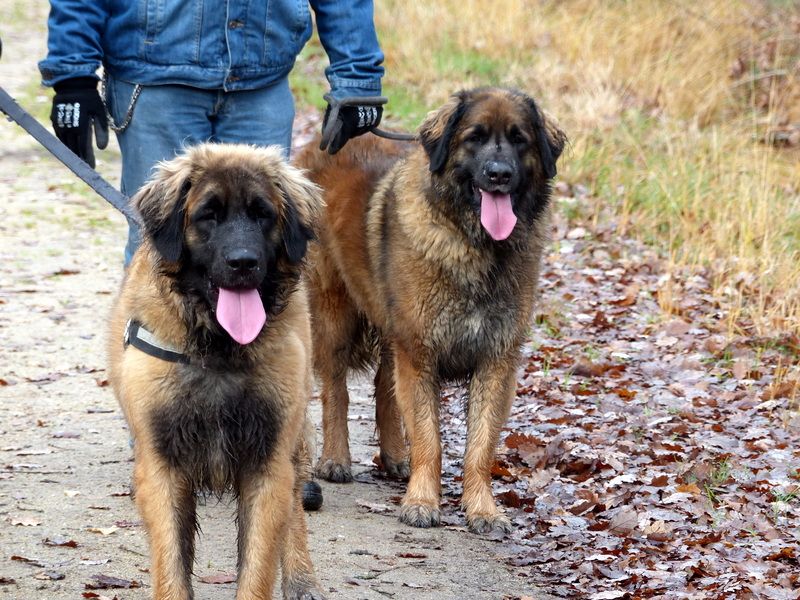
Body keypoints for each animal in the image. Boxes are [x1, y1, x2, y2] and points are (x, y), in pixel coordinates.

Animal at [108, 144, 324, 600]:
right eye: (209, 214)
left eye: (263, 214)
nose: (243, 263)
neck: (218, 350)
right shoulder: (163, 463)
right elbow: (172, 560)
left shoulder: (267, 460)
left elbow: (258, 562)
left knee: (296, 508)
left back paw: (302, 579)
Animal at [296, 88, 564, 536]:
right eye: (474, 137)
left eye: (519, 139)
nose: (499, 174)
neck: (475, 246)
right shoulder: (420, 352)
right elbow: (428, 437)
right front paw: (422, 503)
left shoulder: (495, 359)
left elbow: (480, 446)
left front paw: (483, 510)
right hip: (334, 312)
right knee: (336, 390)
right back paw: (335, 460)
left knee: (384, 389)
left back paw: (394, 458)